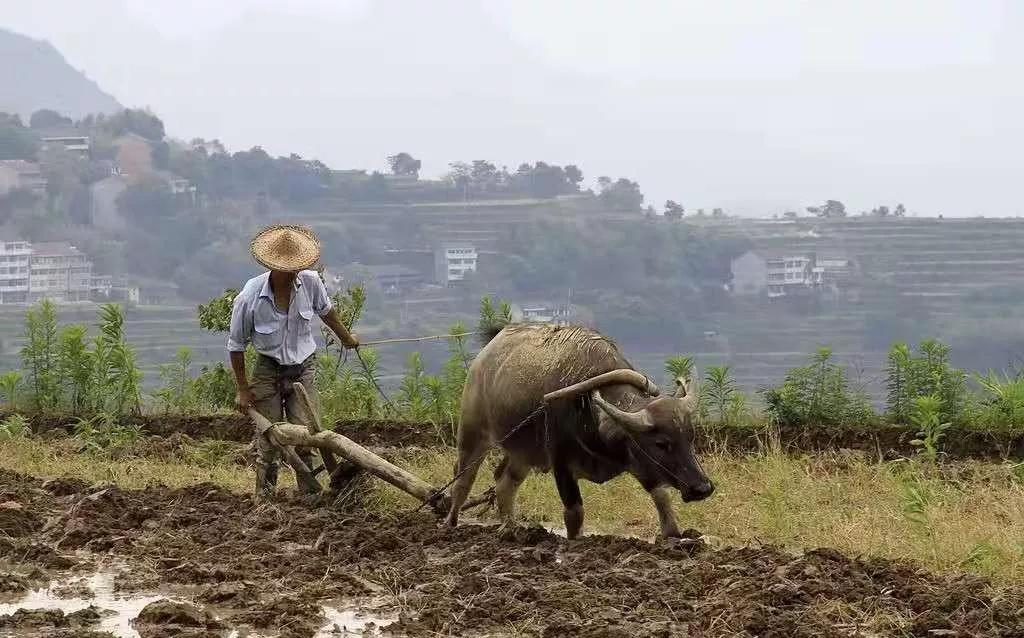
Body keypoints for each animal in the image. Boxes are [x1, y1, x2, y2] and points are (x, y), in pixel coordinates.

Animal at [444, 323, 716, 540]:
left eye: (690, 438)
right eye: (661, 443)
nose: (702, 488)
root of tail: (485, 355)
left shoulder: (639, 462)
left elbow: (661, 496)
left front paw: (674, 535)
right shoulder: (561, 463)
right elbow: (575, 512)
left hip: (523, 454)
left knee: (504, 482)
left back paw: (510, 528)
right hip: (472, 434)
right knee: (462, 480)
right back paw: (450, 523)